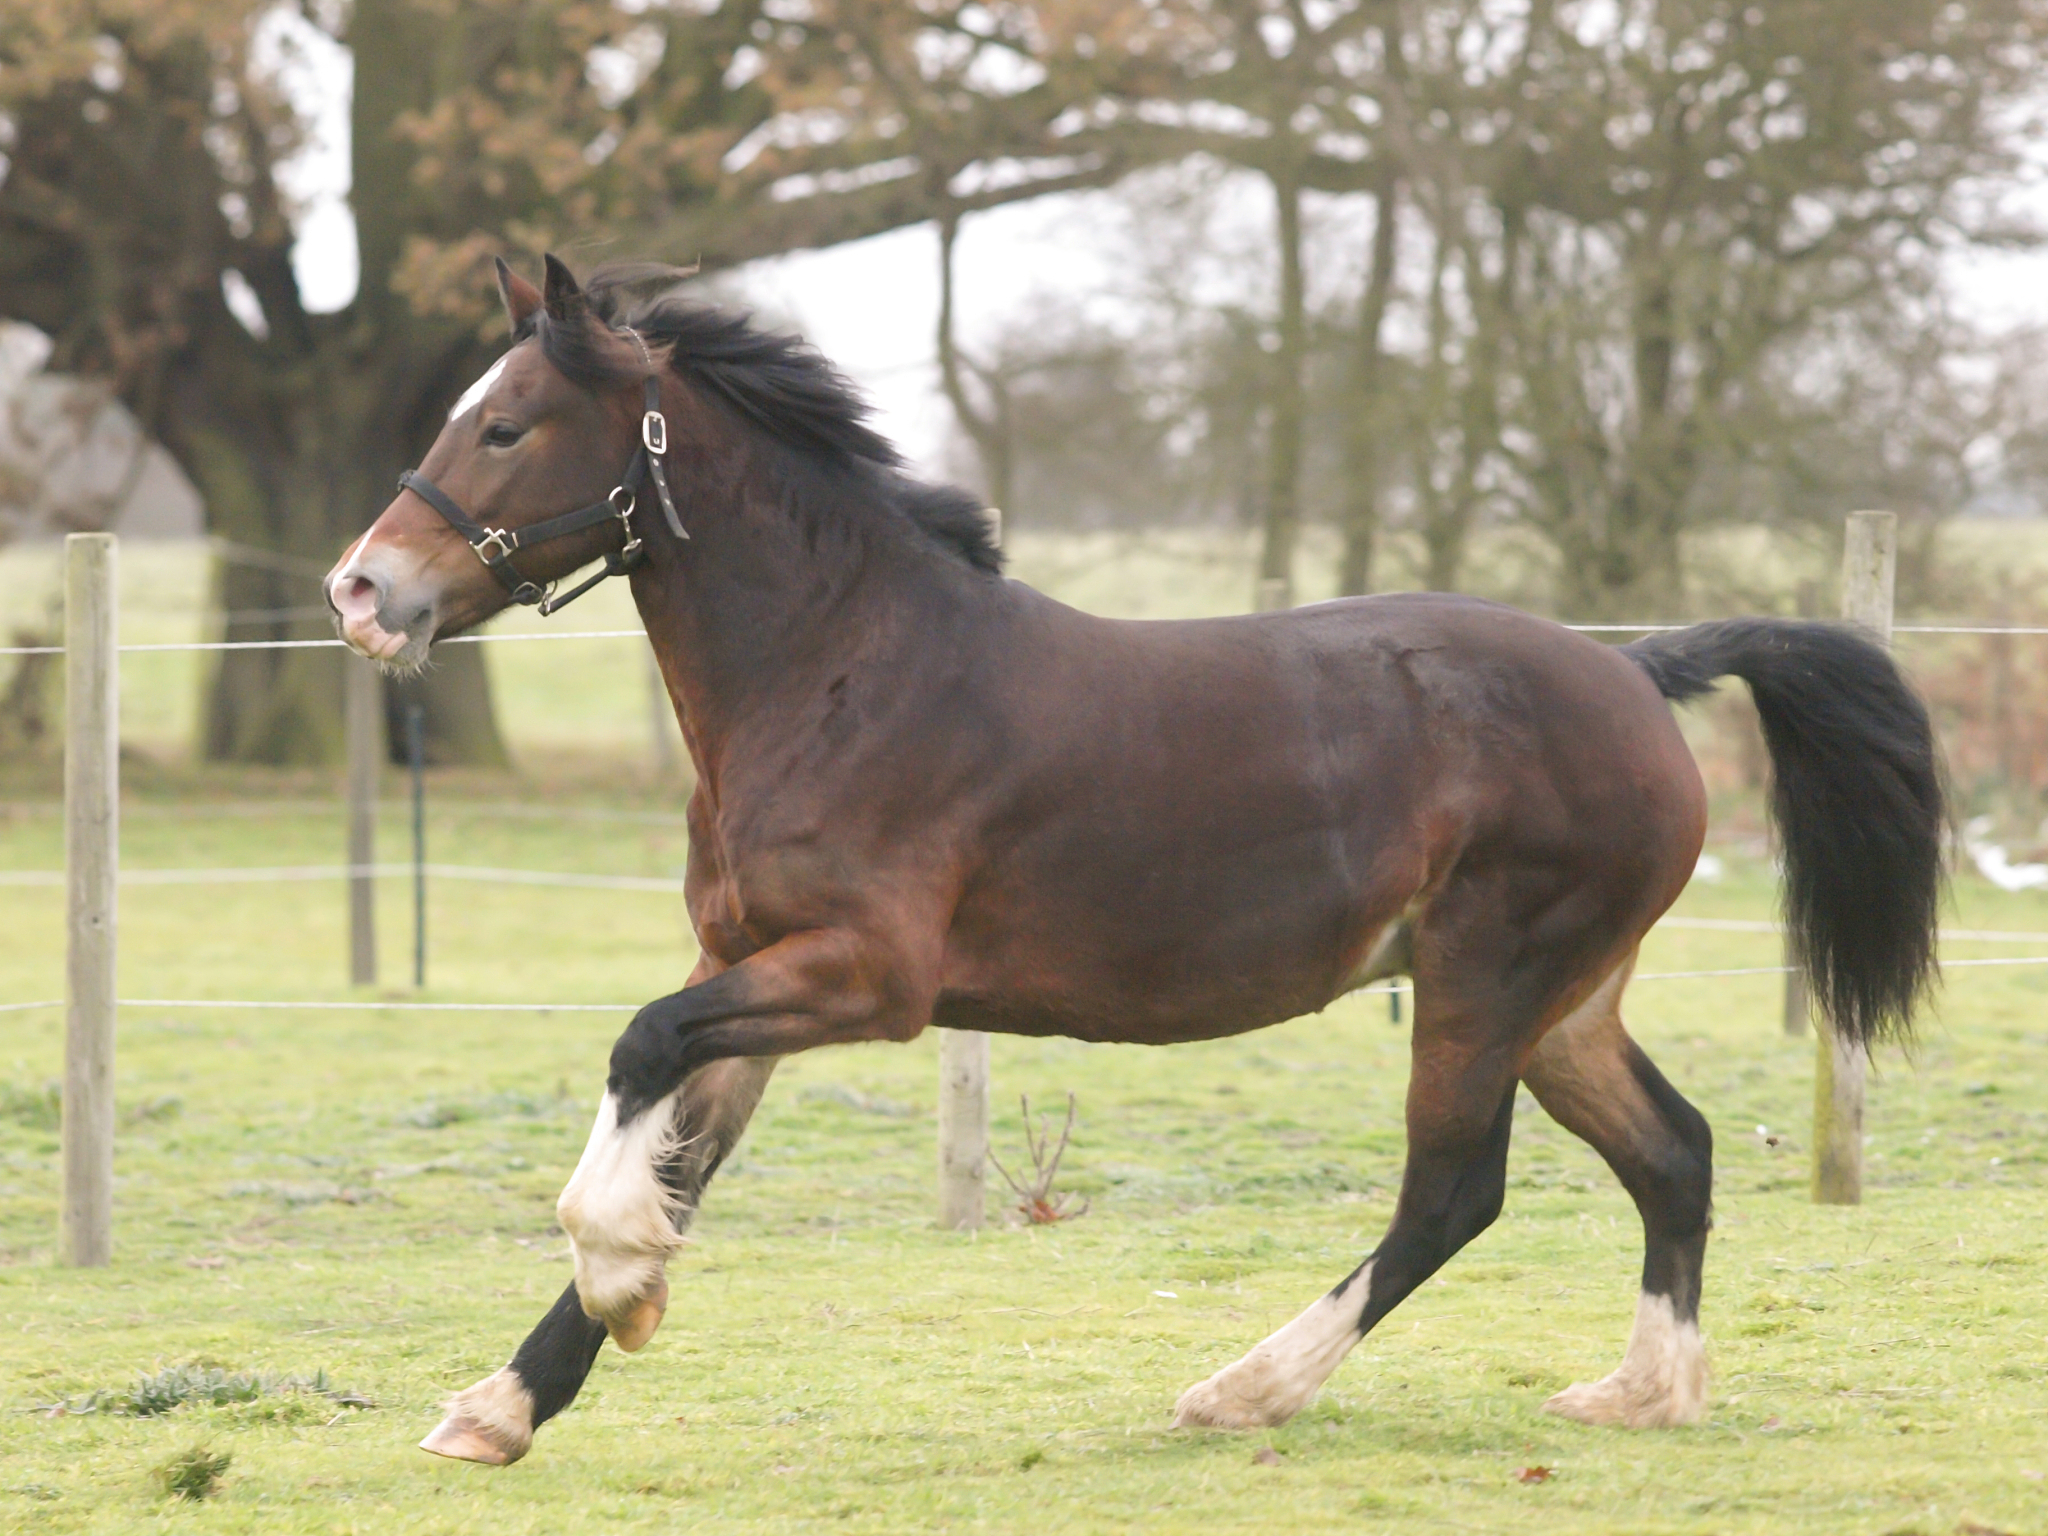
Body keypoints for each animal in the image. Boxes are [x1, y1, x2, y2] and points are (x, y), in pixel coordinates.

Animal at [325, 255, 1944, 1466]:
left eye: (509, 426)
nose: (362, 589)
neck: (844, 667)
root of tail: (1638, 671)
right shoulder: (754, 967)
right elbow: (681, 1142)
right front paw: (504, 1404)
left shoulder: (866, 979)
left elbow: (638, 1053)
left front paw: (621, 1274)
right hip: (1563, 1002)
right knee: (1672, 1152)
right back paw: (1644, 1393)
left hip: (1491, 977)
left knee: (1452, 1193)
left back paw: (1244, 1389)